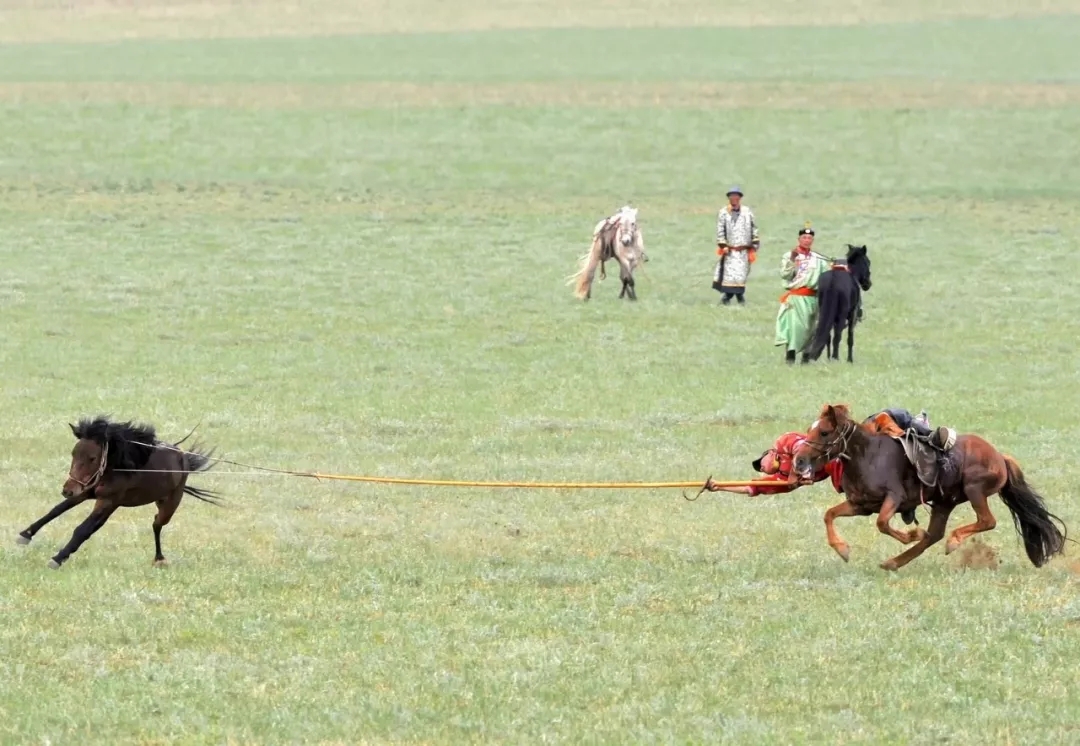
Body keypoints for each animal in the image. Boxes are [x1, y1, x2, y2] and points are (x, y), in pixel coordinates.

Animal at [15, 416, 219, 570]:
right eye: (73, 454)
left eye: (92, 458)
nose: (67, 490)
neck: (118, 467)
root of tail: (184, 458)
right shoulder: (86, 491)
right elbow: (56, 511)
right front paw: (25, 534)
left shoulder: (106, 500)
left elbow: (81, 529)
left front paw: (57, 558)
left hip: (169, 504)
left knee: (156, 524)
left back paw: (159, 558)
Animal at [790, 403, 1067, 570]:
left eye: (824, 432)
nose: (799, 460)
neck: (867, 454)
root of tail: (1000, 457)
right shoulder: (860, 504)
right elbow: (830, 515)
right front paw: (842, 549)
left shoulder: (894, 498)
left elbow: (882, 523)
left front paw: (911, 534)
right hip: (945, 501)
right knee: (934, 535)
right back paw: (893, 562)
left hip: (974, 490)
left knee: (986, 521)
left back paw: (952, 541)